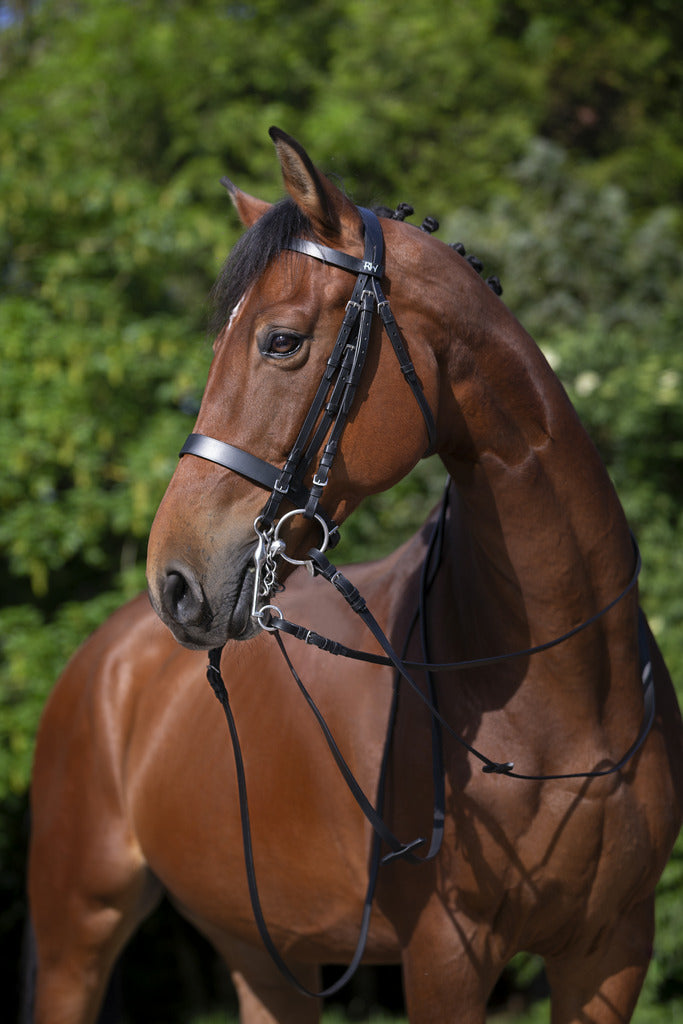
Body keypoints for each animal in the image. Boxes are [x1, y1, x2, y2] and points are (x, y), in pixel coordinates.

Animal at [26, 130, 683, 1024]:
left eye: (280, 341)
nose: (177, 581)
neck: (569, 695)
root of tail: (105, 659)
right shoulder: (446, 955)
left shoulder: (610, 953)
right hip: (77, 934)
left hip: (266, 957)